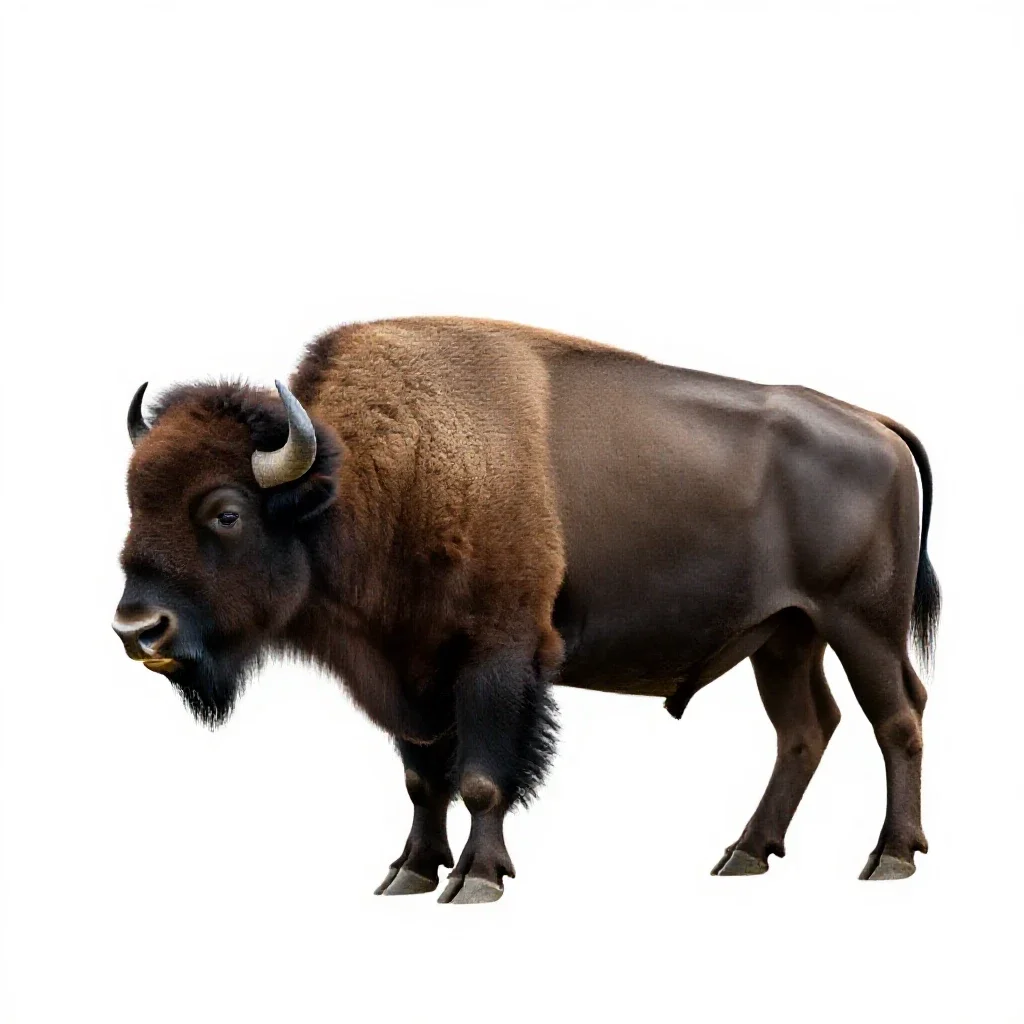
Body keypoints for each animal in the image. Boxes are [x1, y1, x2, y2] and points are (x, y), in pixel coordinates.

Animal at [113, 317, 939, 902]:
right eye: (132, 501)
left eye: (225, 513)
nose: (137, 628)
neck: (364, 480)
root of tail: (878, 426)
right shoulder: (409, 671)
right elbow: (423, 780)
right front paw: (408, 872)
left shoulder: (496, 658)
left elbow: (481, 776)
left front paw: (475, 879)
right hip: (784, 636)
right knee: (805, 730)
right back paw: (743, 854)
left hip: (861, 624)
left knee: (897, 718)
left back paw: (889, 858)